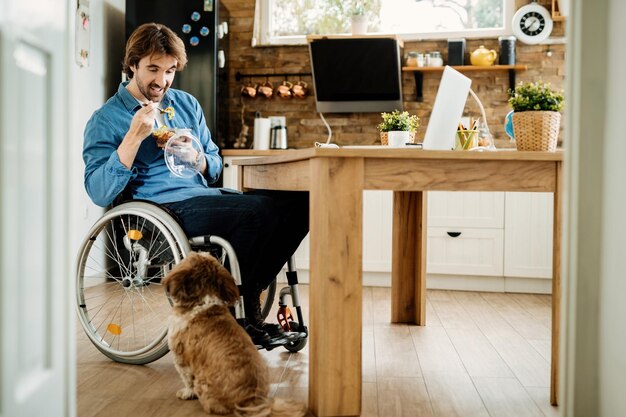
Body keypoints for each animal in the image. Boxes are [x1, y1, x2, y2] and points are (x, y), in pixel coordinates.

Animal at [161, 250, 308, 416]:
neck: (203, 300)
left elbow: (187, 379)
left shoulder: (181, 357)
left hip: (202, 383)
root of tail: (251, 401)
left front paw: (186, 393)